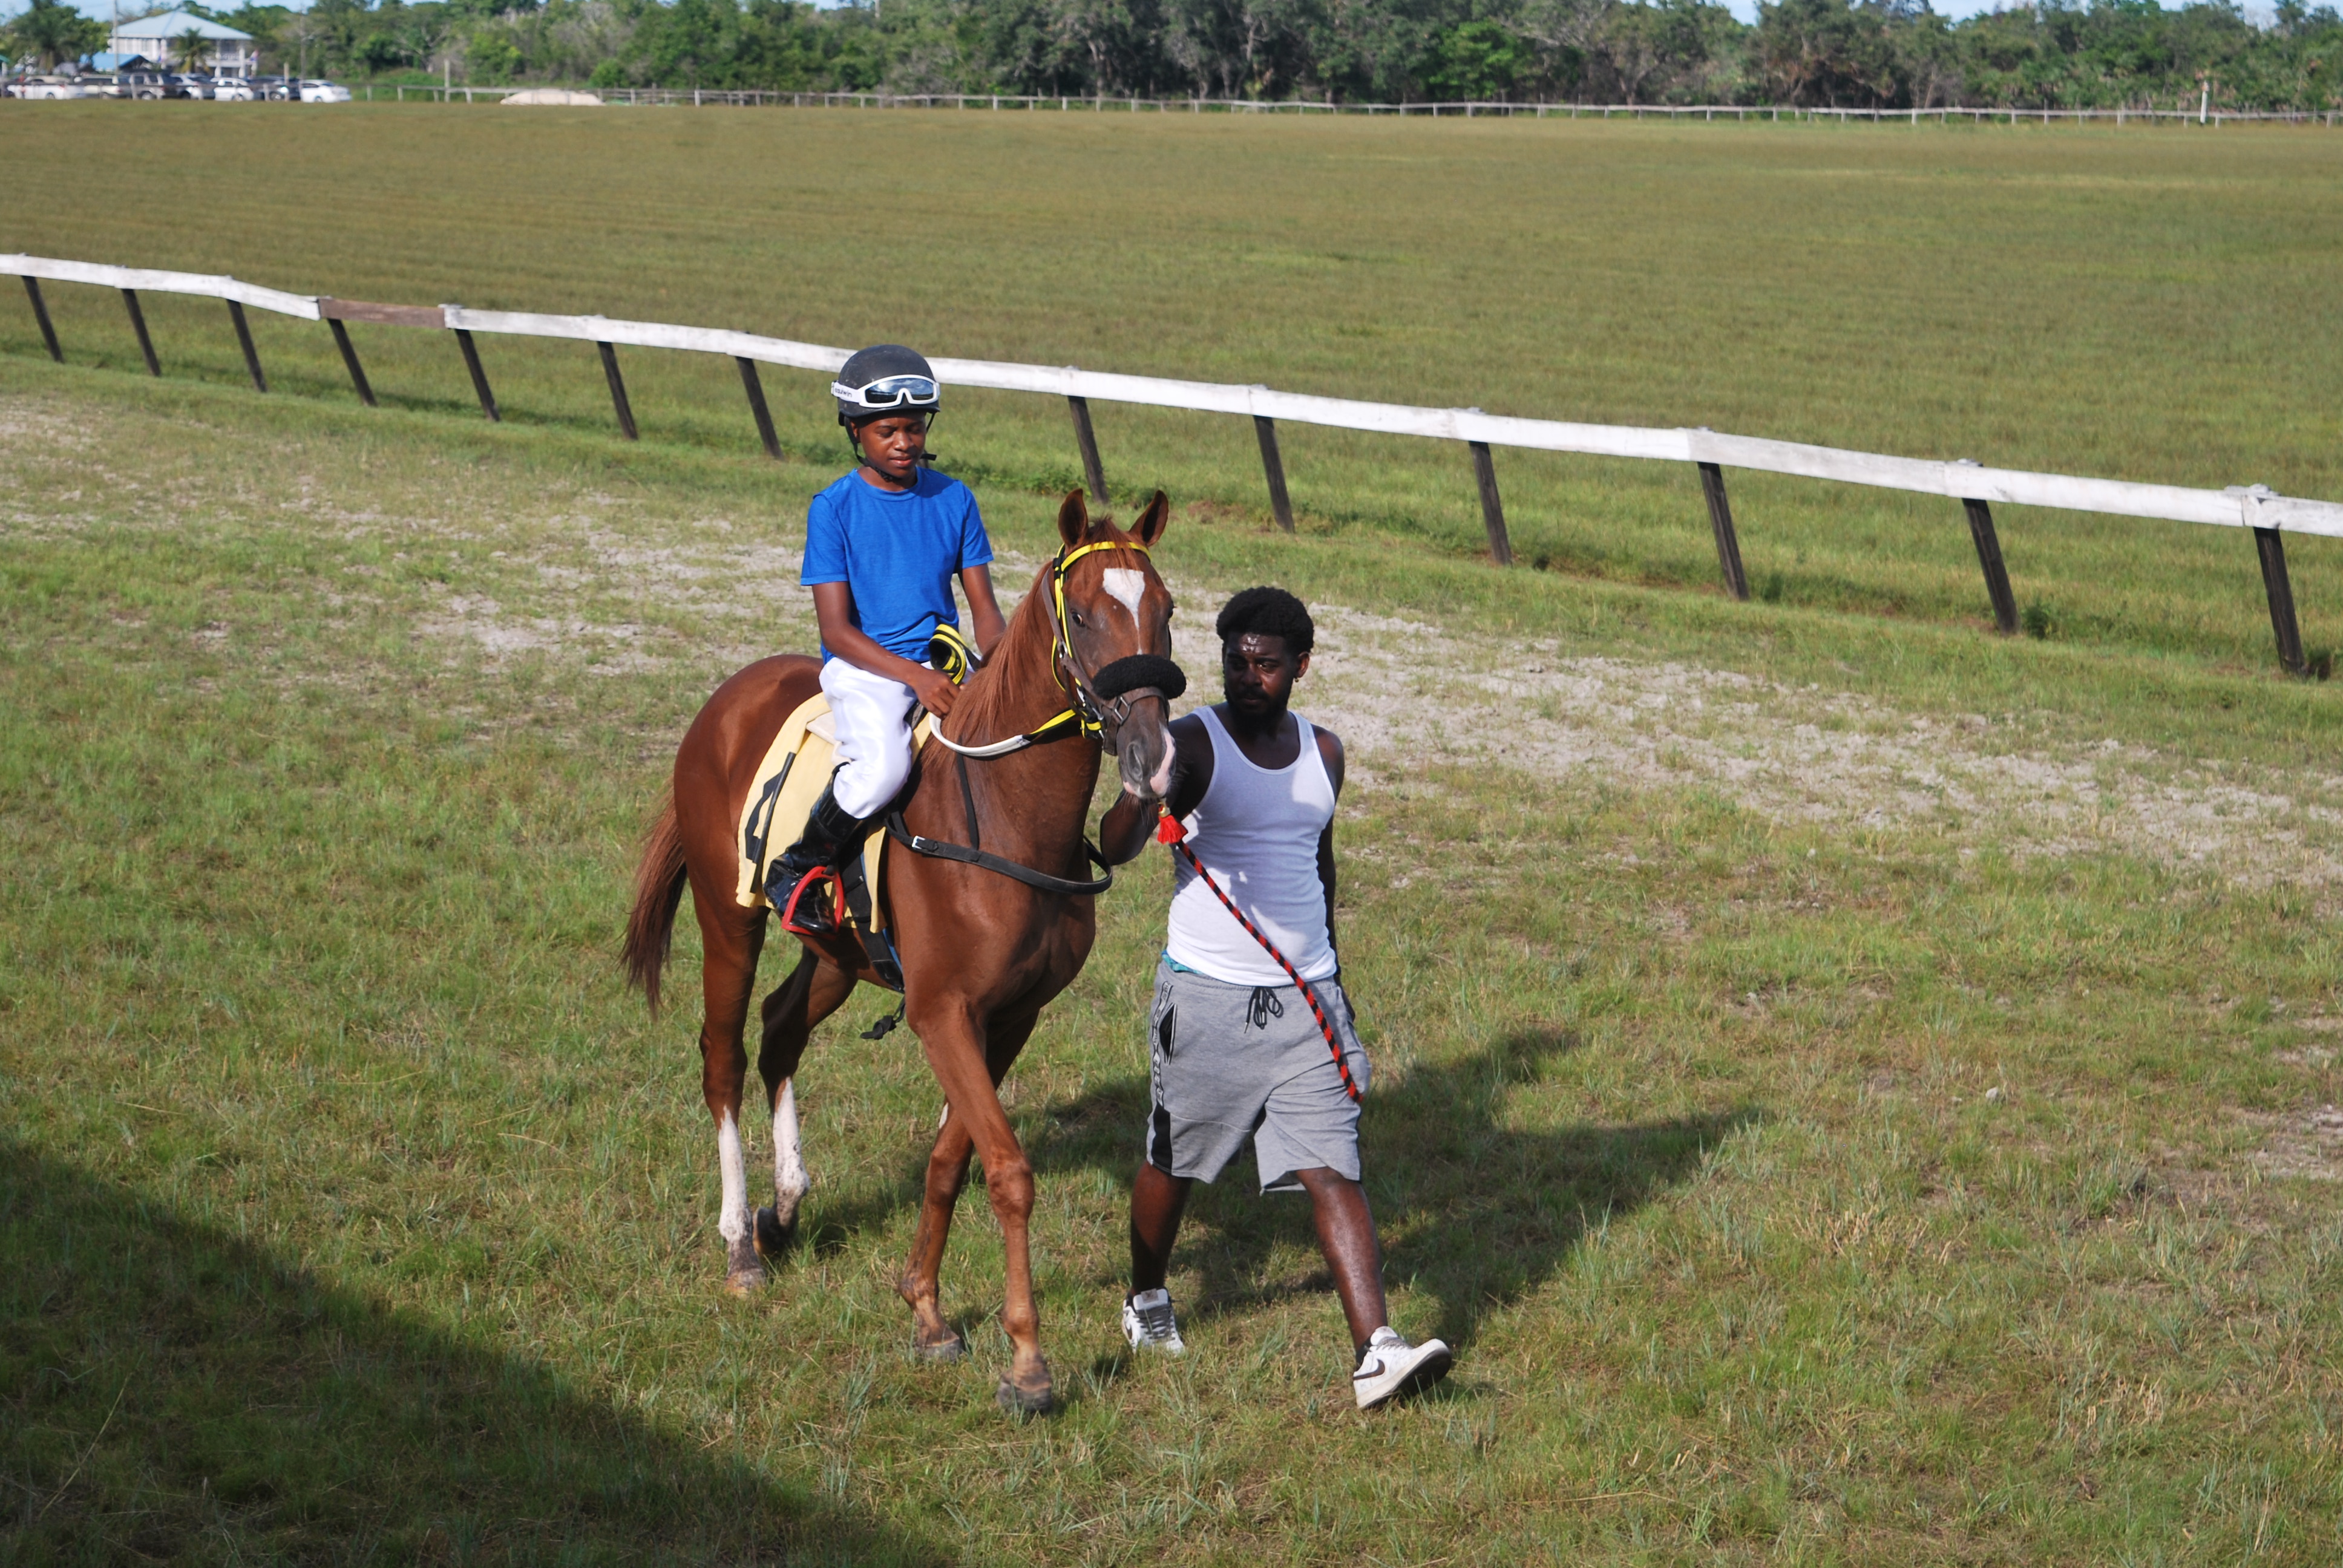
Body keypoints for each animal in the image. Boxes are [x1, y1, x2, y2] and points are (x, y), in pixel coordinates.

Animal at [623, 492, 1181, 1416]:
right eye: (1087, 615)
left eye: (1165, 611)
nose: (1151, 757)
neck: (1003, 813)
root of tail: (730, 696)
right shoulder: (941, 1012)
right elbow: (1007, 1170)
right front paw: (1027, 1360)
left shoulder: (1009, 1016)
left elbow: (952, 1160)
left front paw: (925, 1308)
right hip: (727, 921)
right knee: (723, 1057)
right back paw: (740, 1244)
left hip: (835, 954)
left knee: (779, 1030)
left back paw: (784, 1208)